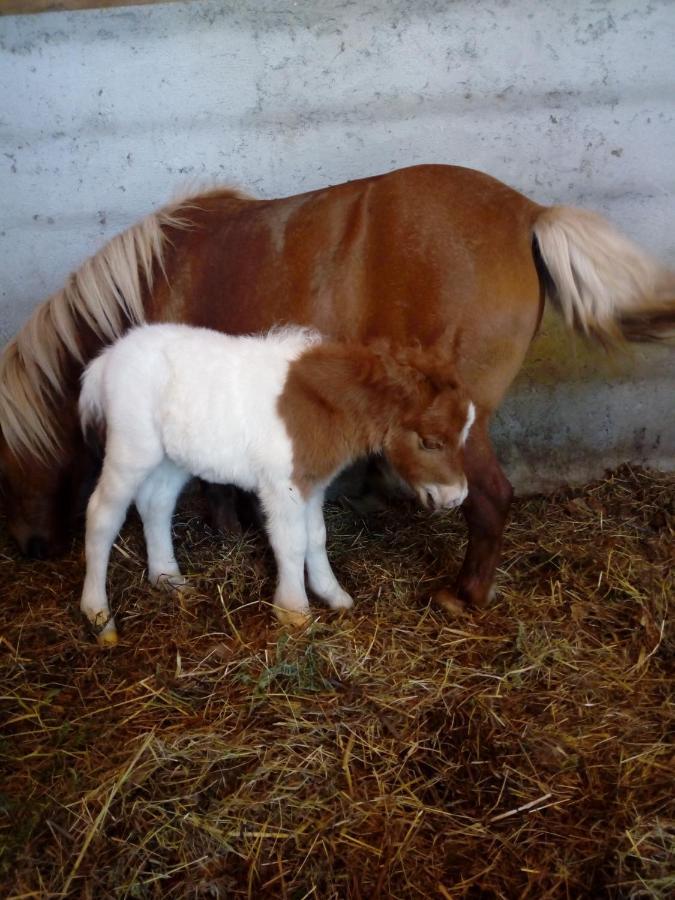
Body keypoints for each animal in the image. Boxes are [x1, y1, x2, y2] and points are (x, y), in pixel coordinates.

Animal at [1, 165, 675, 608]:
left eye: (5, 466)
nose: (30, 548)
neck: (156, 276)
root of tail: (528, 214)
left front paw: (230, 534)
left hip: (465, 425)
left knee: (490, 498)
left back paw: (464, 595)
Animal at [79, 326, 476, 644]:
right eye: (429, 441)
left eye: (466, 430)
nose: (456, 497)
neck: (320, 406)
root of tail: (110, 356)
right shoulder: (283, 487)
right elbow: (292, 542)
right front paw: (295, 613)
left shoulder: (312, 485)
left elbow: (317, 537)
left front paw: (333, 595)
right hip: (132, 449)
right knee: (102, 515)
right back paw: (100, 617)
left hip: (171, 458)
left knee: (156, 504)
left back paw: (168, 579)